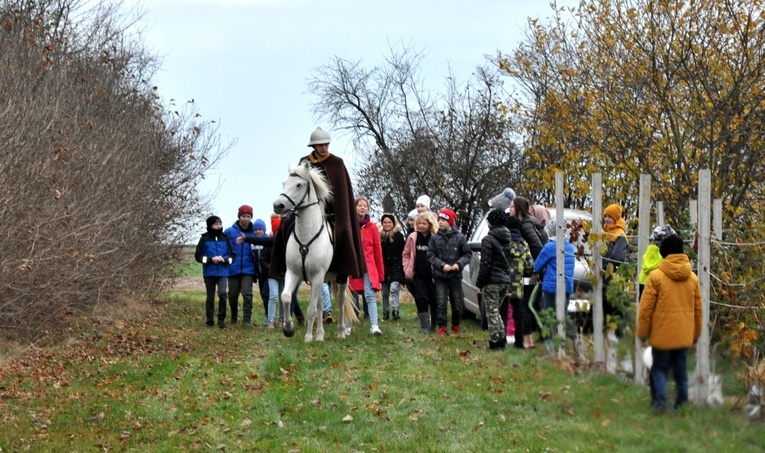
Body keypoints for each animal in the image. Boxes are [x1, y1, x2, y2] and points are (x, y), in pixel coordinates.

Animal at [274, 161, 356, 340]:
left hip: (339, 278)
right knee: (320, 303)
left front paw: (307, 337)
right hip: (321, 279)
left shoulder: (318, 275)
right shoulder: (294, 273)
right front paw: (289, 328)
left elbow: (311, 309)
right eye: (284, 183)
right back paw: (319, 334)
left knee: (341, 300)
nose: (278, 206)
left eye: (299, 185)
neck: (307, 237)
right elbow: (286, 297)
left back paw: (340, 332)